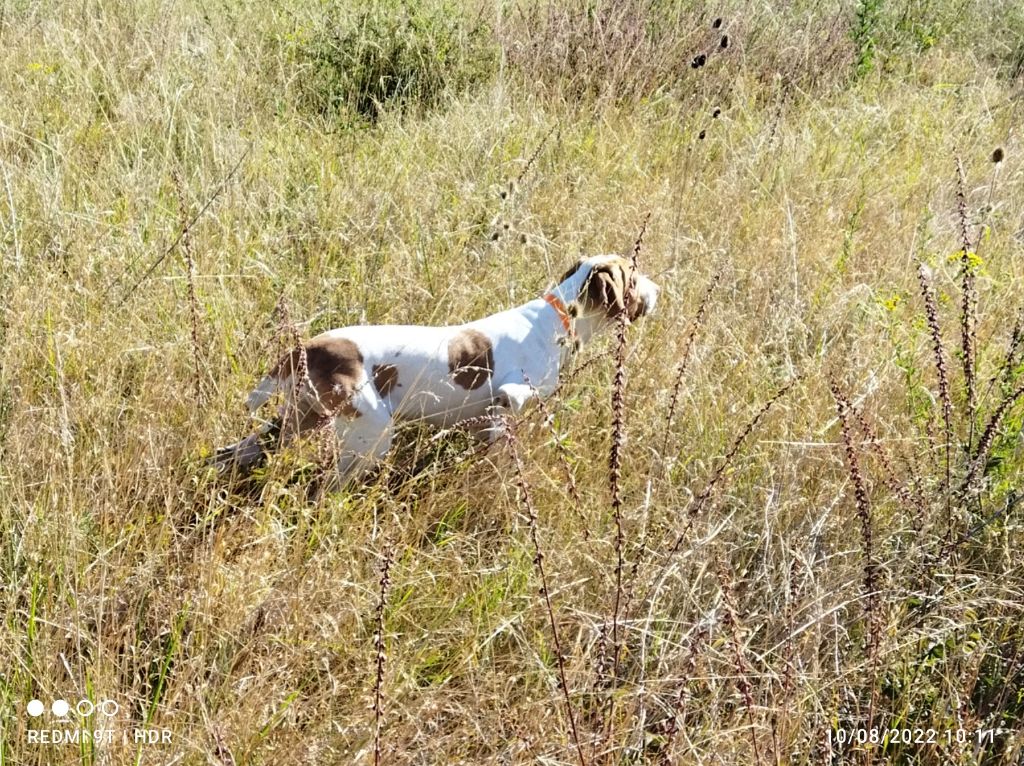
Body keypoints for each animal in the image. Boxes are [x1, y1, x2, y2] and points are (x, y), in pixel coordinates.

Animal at [217, 253, 663, 481]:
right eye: (634, 275)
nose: (660, 289)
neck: (558, 317)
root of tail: (308, 348)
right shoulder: (507, 404)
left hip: (298, 418)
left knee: (241, 449)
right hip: (371, 435)